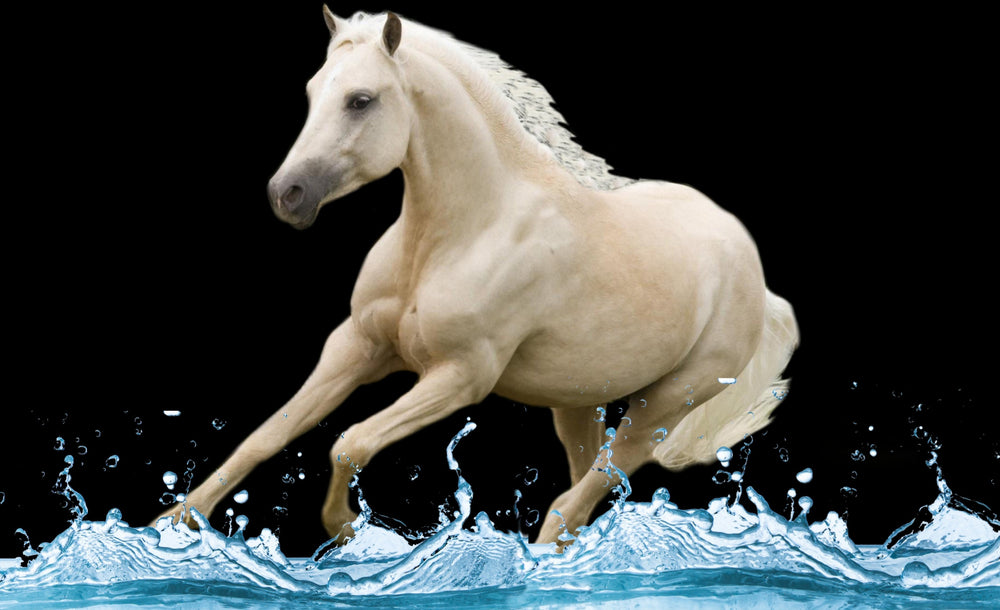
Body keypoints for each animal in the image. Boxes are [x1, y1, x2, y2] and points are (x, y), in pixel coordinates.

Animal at [154, 9, 798, 547]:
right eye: (314, 92)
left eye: (361, 100)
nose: (287, 195)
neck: (459, 235)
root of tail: (753, 271)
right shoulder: (354, 347)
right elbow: (266, 435)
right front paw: (172, 523)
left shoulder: (460, 376)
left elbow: (350, 442)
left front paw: (346, 529)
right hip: (577, 401)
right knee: (584, 491)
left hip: (662, 408)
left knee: (575, 499)